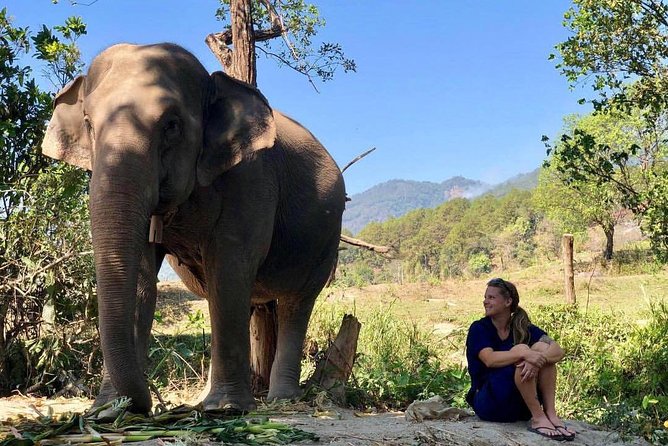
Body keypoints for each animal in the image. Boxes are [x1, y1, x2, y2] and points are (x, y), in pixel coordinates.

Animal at [41, 43, 346, 414]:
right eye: (87, 122)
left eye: (171, 125)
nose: (152, 403)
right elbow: (141, 280)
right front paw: (111, 411)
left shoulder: (251, 177)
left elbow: (230, 266)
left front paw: (228, 409)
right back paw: (207, 399)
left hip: (325, 239)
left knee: (294, 304)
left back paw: (280, 400)